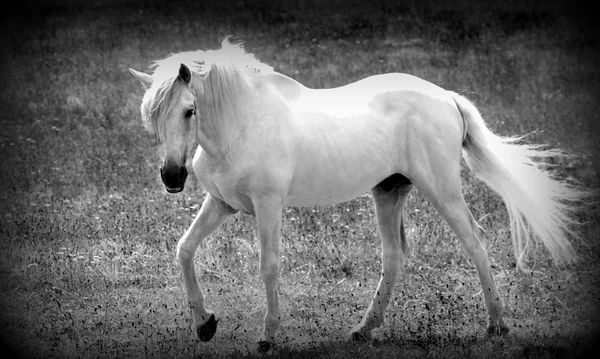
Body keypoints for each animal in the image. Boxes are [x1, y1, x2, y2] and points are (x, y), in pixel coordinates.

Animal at [130, 39, 584, 352]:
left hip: (442, 191)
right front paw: (204, 324)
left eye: (189, 110)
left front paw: (268, 337)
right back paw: (364, 329)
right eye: (151, 115)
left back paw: (496, 325)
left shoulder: (268, 206)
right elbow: (184, 249)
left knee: (474, 240)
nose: (172, 176)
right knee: (394, 255)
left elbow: (268, 266)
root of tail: (447, 97)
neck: (242, 124)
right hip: (389, 192)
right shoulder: (222, 204)